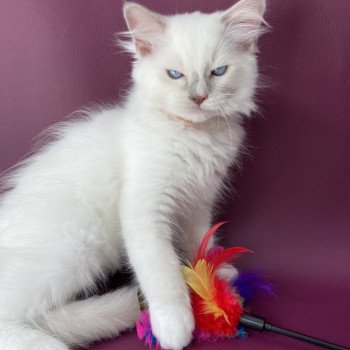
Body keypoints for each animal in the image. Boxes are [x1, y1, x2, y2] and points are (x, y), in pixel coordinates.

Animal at [0, 0, 266, 350]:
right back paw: (47, 344)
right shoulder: (145, 208)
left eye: (218, 71)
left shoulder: (198, 203)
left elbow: (199, 241)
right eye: (175, 74)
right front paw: (174, 323)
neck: (193, 134)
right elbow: (161, 269)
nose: (198, 97)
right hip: (72, 251)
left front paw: (212, 274)